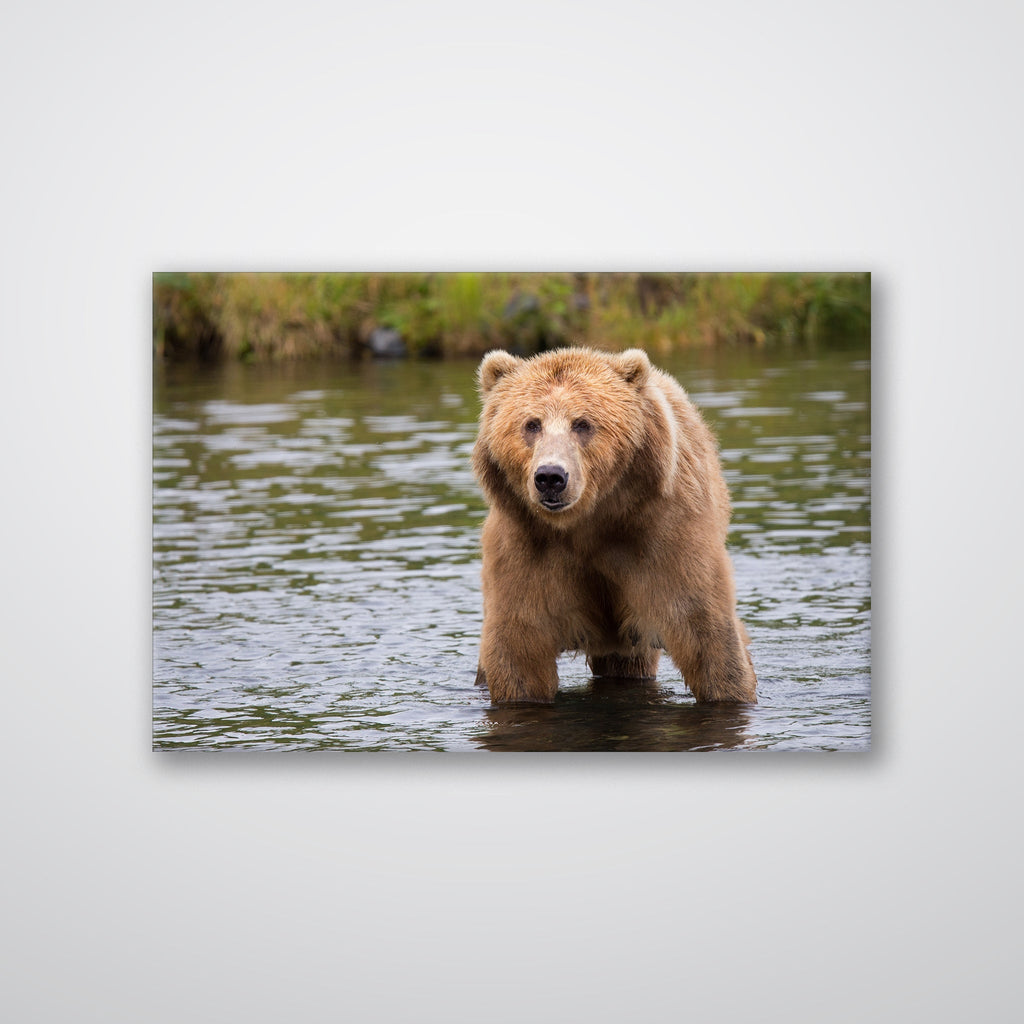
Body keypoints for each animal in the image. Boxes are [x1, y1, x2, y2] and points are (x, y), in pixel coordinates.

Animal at [471, 346, 757, 705]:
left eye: (582, 423)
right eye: (531, 424)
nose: (550, 477)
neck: (589, 521)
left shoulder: (663, 536)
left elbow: (705, 630)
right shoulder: (527, 547)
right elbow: (519, 647)